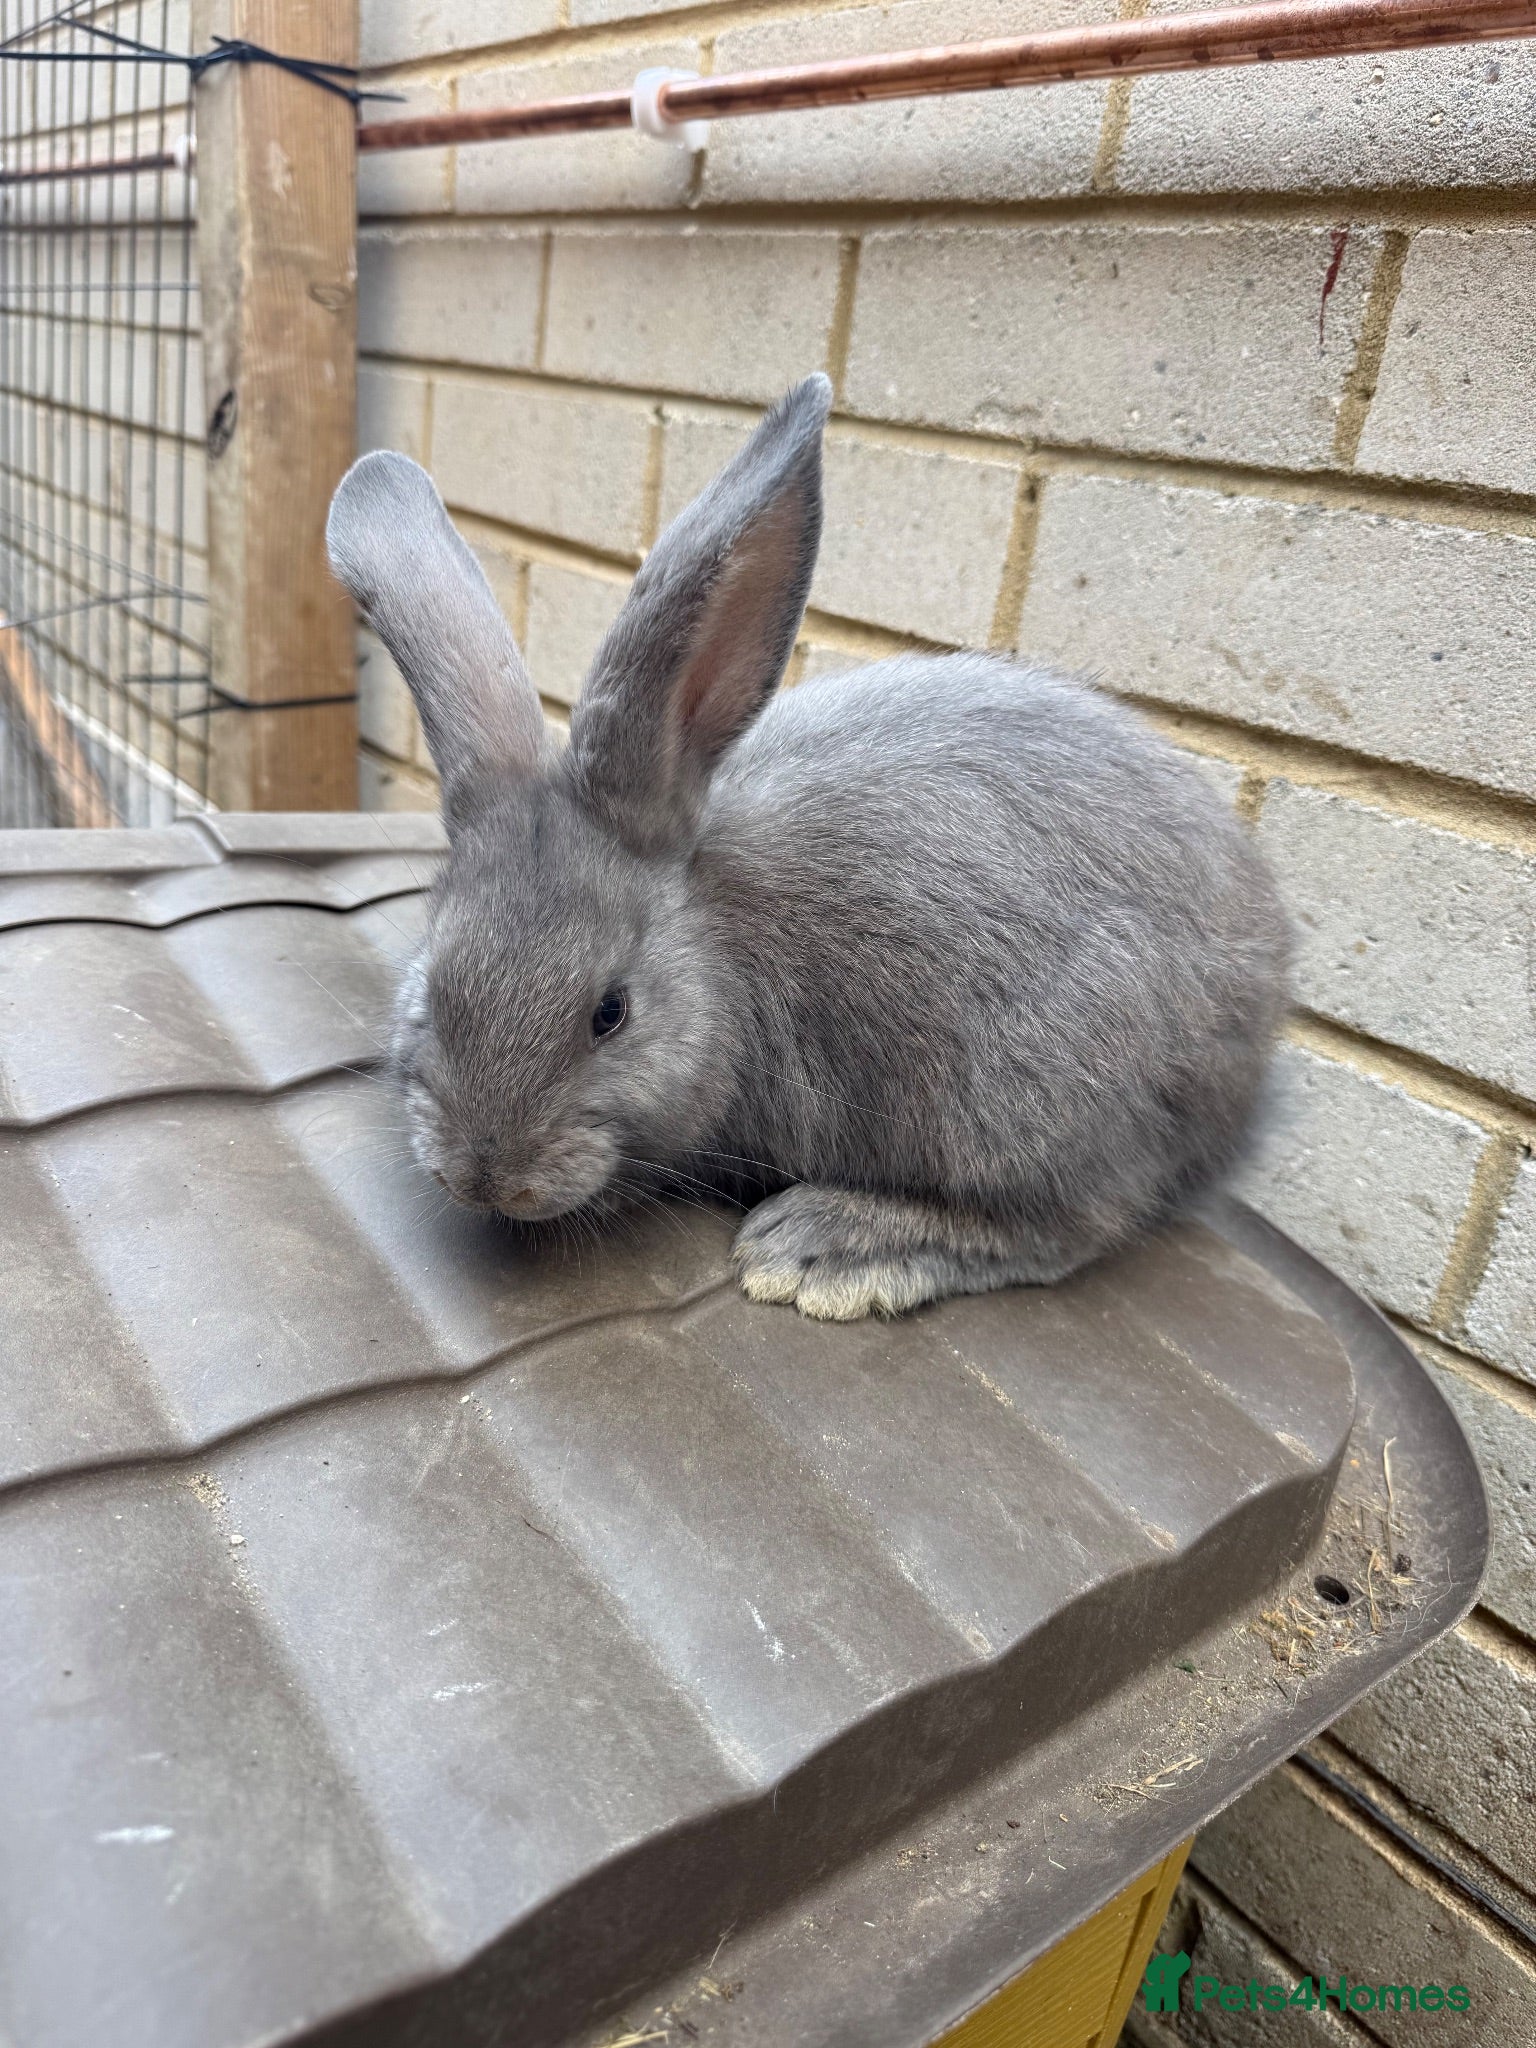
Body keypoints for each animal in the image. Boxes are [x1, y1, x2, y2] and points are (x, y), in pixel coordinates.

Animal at [326, 373, 1289, 1321]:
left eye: (611, 1013)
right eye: (431, 988)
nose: (486, 1177)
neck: (720, 944)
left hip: (1045, 1098)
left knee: (1072, 1225)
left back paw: (824, 1247)